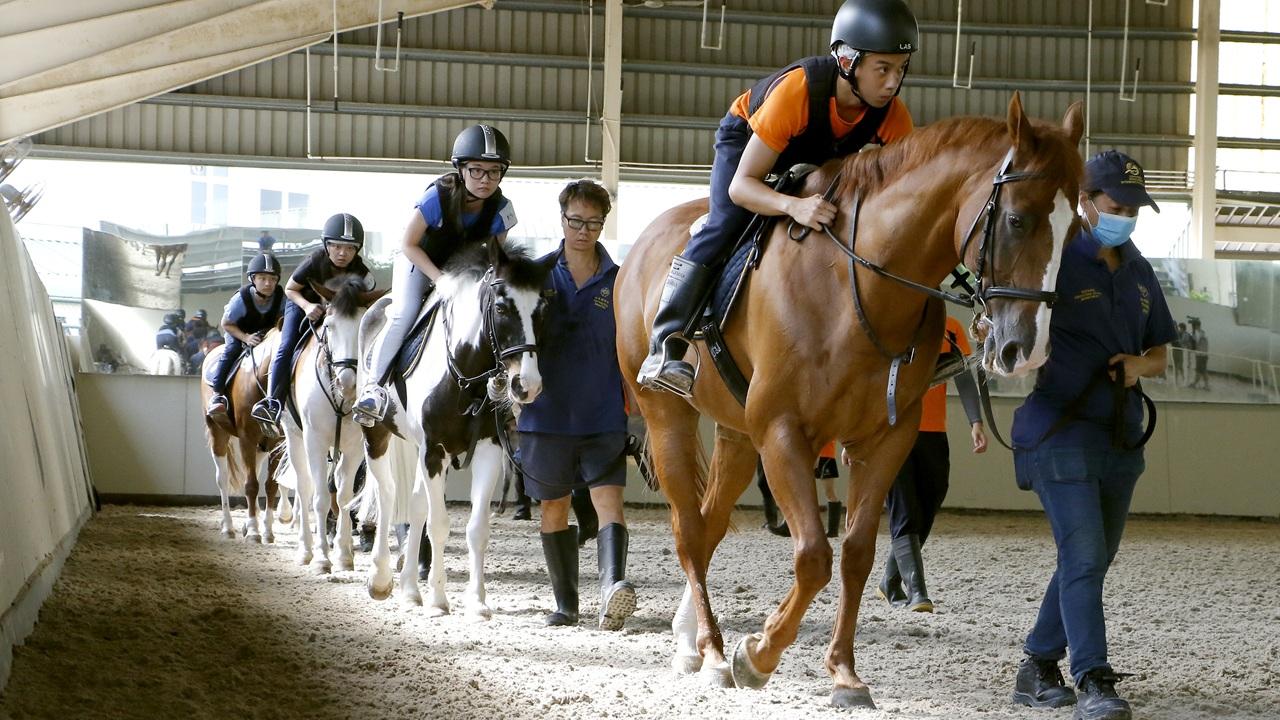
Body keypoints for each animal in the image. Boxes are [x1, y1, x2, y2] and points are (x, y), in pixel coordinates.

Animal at [200, 332, 285, 542]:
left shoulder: (277, 443)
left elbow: (271, 485)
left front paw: (267, 531)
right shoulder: (247, 438)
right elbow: (251, 485)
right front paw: (254, 530)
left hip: (262, 445)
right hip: (218, 432)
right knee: (222, 478)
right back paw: (228, 527)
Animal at [277, 277, 386, 573]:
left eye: (362, 327)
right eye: (329, 326)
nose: (347, 381)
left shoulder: (354, 446)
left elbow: (344, 496)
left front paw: (344, 556)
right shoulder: (314, 440)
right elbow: (320, 497)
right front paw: (322, 559)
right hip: (295, 436)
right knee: (304, 486)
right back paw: (305, 550)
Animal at [360, 239, 552, 619]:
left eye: (541, 308)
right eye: (502, 307)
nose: (527, 385)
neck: (466, 376)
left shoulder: (489, 450)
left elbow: (477, 528)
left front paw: (477, 602)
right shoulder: (435, 451)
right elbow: (439, 524)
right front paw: (438, 600)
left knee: (415, 504)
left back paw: (409, 590)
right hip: (377, 435)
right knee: (387, 494)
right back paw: (381, 579)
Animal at [614, 93, 1084, 707]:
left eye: (1073, 231)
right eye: (1016, 219)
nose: (1023, 350)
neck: (855, 286)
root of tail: (642, 247)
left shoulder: (885, 439)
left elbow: (856, 553)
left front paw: (844, 672)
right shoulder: (783, 432)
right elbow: (814, 555)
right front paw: (757, 655)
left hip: (737, 433)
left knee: (710, 526)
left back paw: (689, 640)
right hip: (668, 415)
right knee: (689, 532)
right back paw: (715, 652)